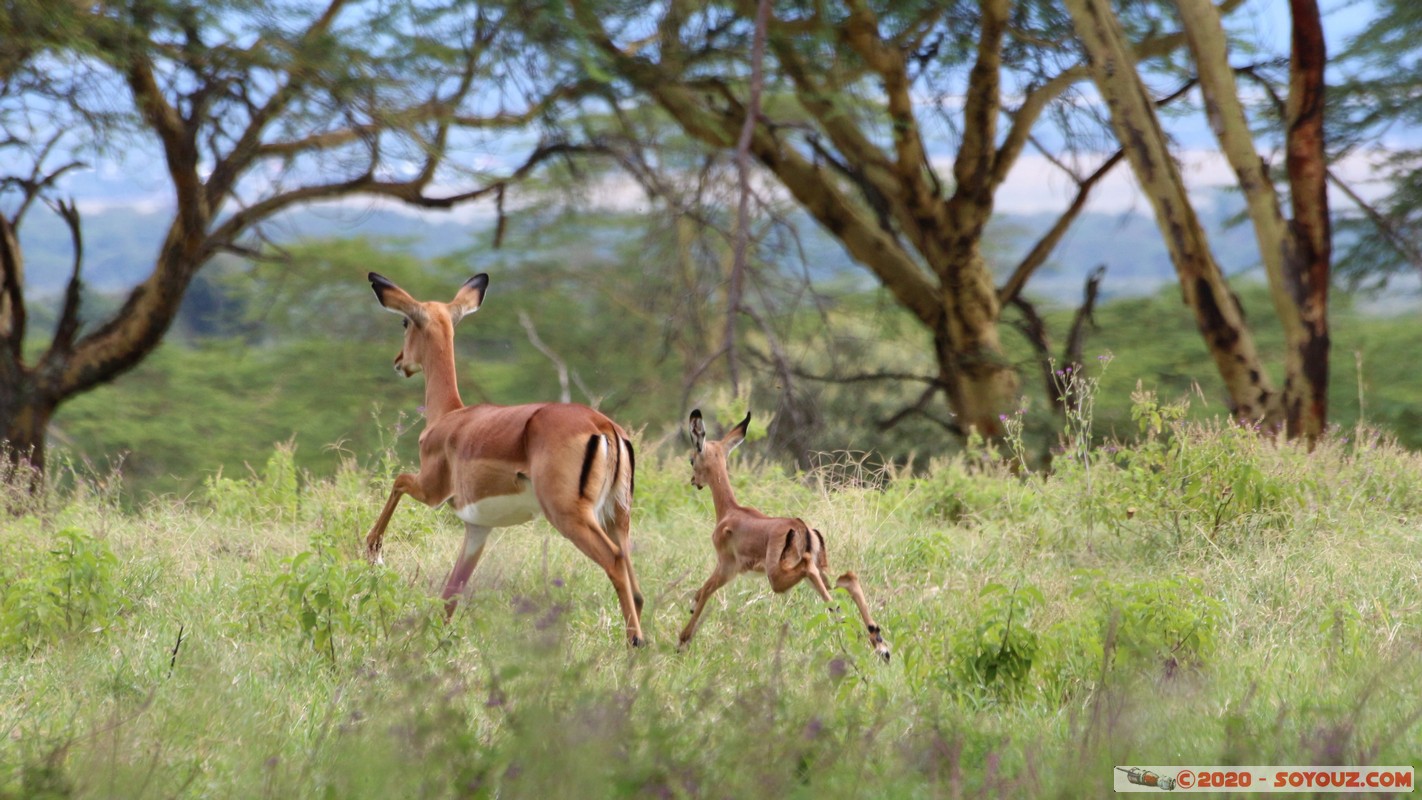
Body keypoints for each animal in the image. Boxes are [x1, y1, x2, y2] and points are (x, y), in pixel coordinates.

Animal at [363, 272, 644, 646]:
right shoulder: (478, 528)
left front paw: (374, 552)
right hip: (617, 515)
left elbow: (397, 481)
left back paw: (636, 642)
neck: (448, 416)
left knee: (613, 560)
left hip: (570, 515)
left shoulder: (431, 490)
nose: (398, 361)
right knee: (635, 582)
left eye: (404, 322)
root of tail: (604, 427)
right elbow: (451, 593)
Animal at [680, 409, 890, 661]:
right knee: (847, 579)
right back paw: (880, 644)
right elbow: (701, 590)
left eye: (692, 460)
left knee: (822, 584)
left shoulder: (727, 567)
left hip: (779, 578)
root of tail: (802, 528)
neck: (729, 512)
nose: (693, 481)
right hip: (820, 570)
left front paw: (683, 639)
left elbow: (704, 591)